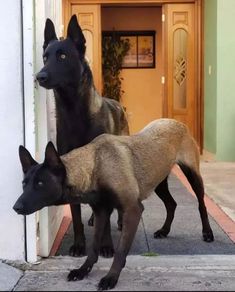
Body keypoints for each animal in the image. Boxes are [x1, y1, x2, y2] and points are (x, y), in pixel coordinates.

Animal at [14, 118, 213, 290]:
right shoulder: (101, 212)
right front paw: (83, 270)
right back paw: (165, 230)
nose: (16, 207)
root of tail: (174, 121)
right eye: (24, 184)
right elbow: (94, 247)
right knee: (172, 204)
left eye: (40, 184)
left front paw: (111, 277)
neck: (96, 165)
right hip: (159, 183)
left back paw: (207, 233)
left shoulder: (132, 211)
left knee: (201, 204)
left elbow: (120, 250)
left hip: (193, 176)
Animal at [35, 14, 129, 256]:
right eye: (45, 57)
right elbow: (76, 216)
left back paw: (120, 221)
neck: (74, 111)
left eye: (62, 56)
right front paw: (79, 245)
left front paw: (106, 245)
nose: (39, 76)